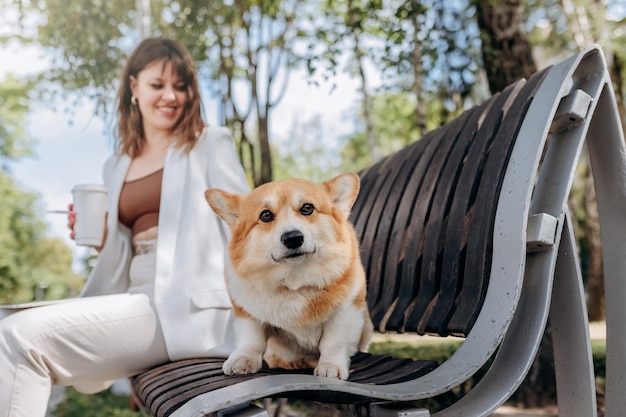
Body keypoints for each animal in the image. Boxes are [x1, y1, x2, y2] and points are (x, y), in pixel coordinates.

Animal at [205, 171, 370, 378]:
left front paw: (330, 366)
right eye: (266, 215)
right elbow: (252, 339)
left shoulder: (347, 310)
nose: (293, 238)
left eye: (307, 208)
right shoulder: (246, 312)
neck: (295, 281)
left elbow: (334, 341)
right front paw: (243, 359)